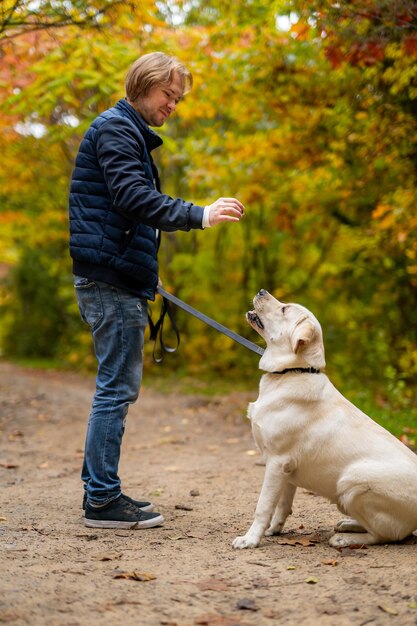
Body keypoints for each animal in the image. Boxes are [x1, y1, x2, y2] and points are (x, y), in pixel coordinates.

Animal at [231, 288, 416, 544]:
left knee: (385, 535)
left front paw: (250, 539)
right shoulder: (286, 471)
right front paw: (273, 530)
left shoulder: (276, 462)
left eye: (284, 309)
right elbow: (282, 506)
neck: (291, 372)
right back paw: (348, 525)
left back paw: (346, 540)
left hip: (351, 481)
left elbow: (263, 506)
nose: (261, 291)